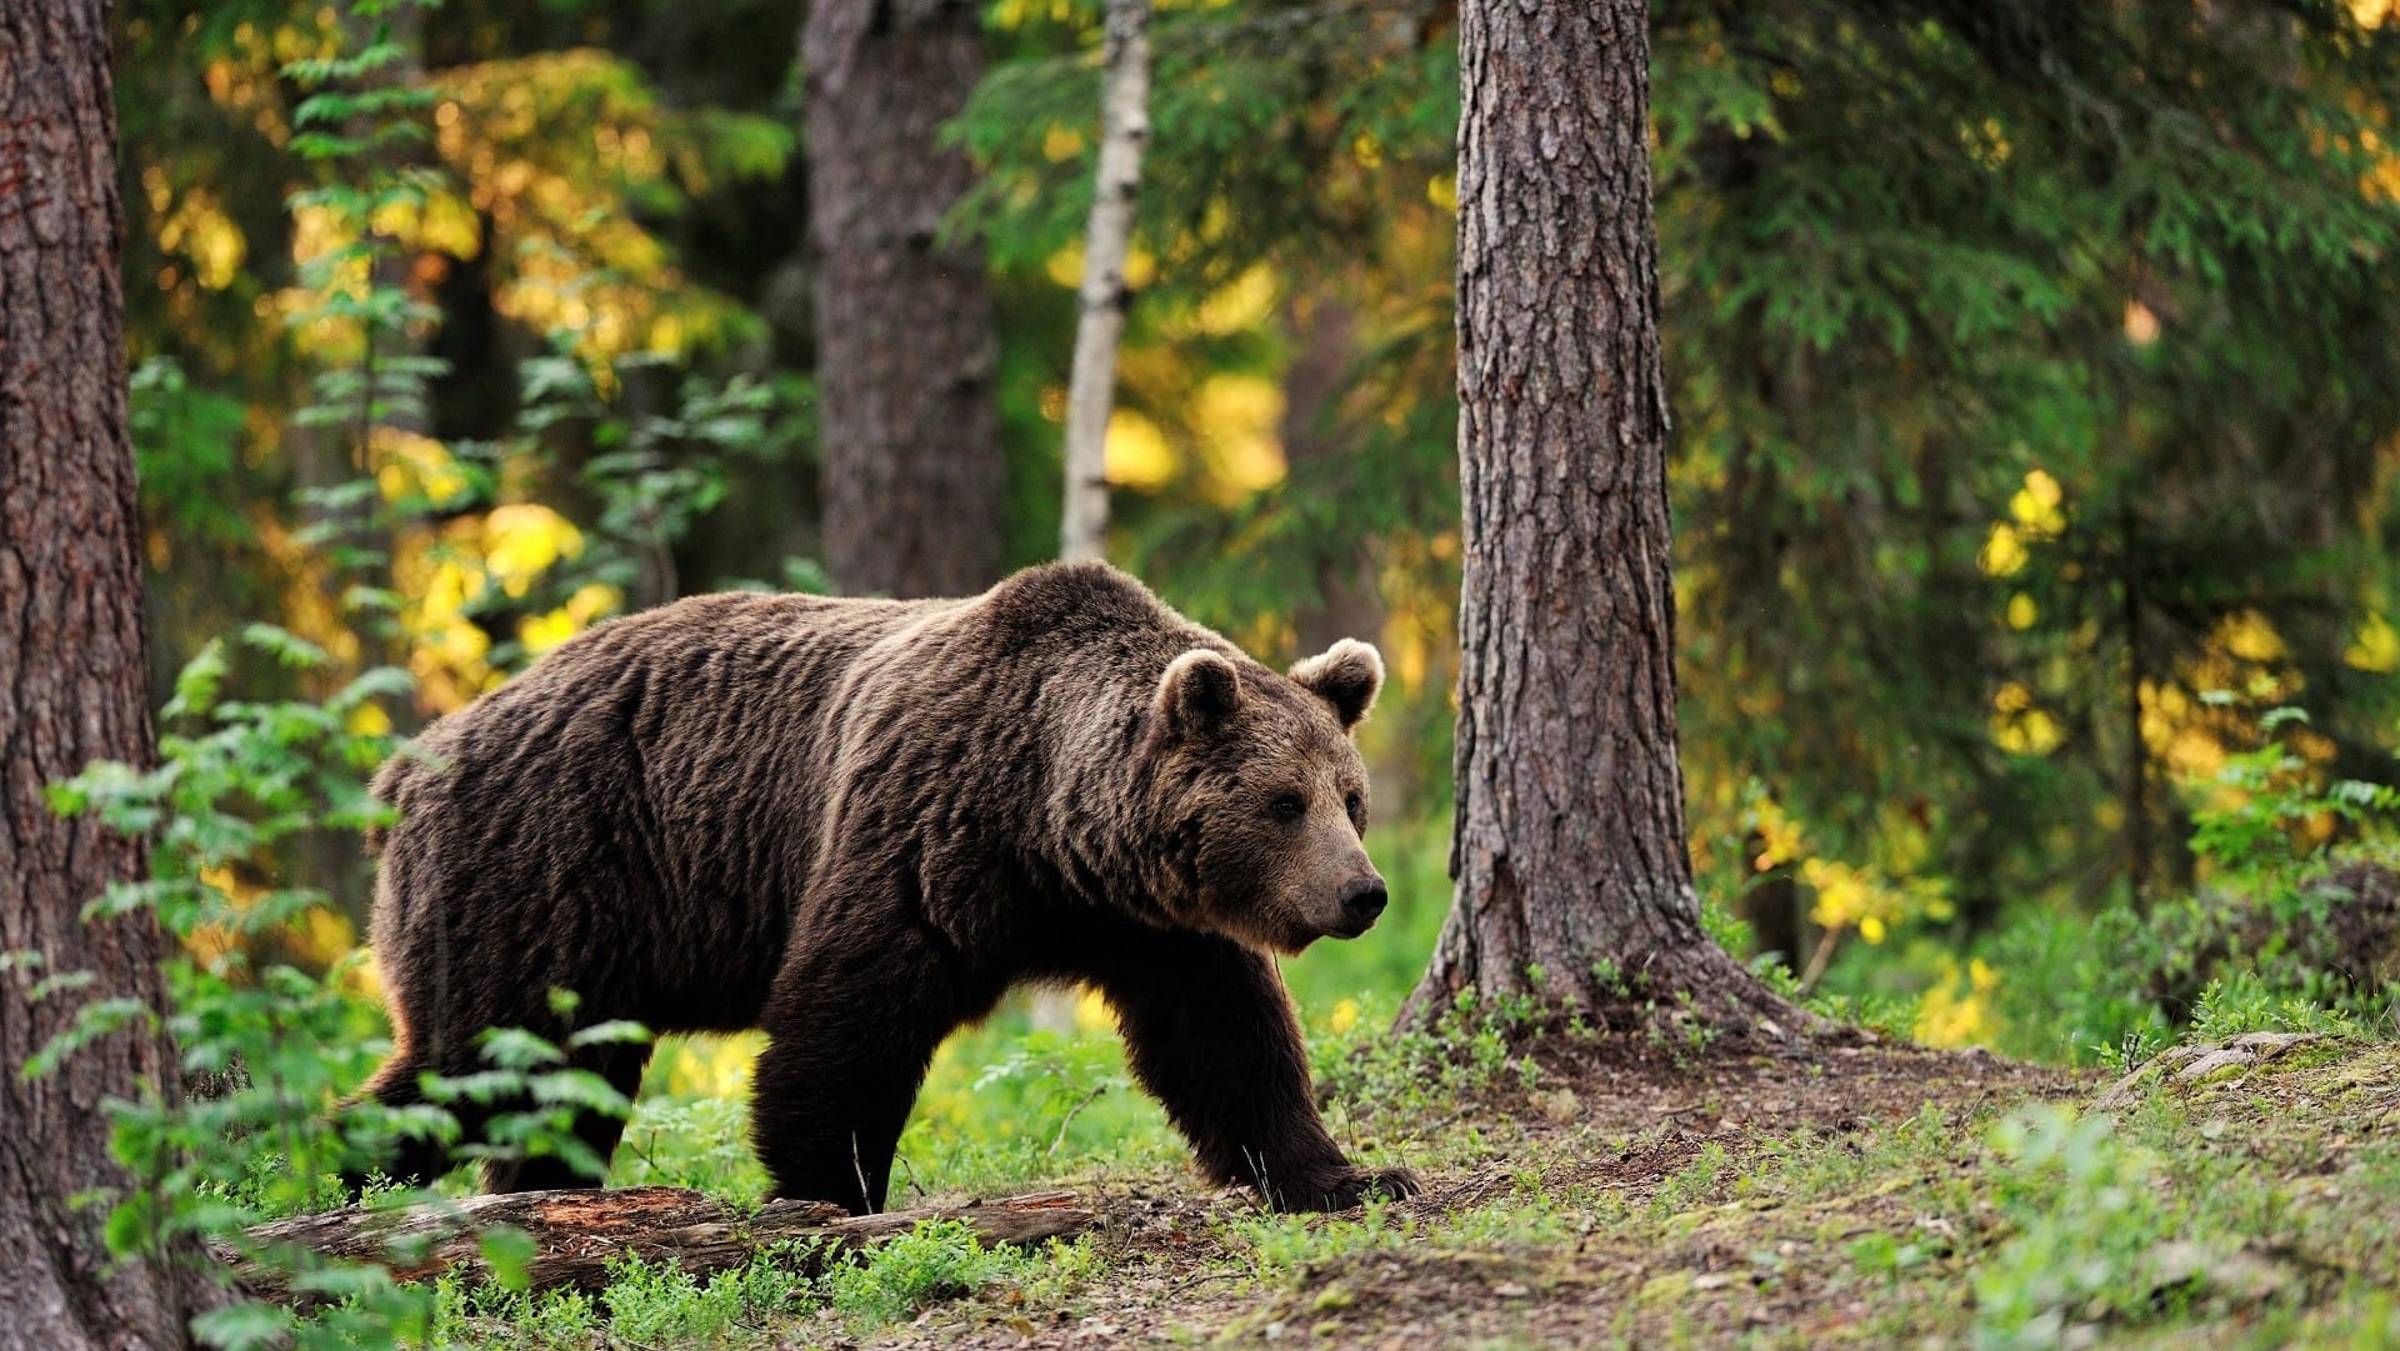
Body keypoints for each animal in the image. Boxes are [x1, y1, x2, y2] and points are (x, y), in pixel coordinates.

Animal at [348, 561, 1411, 1214]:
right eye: (1283, 801)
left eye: (1350, 798)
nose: (1363, 893)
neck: (1051, 826)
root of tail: (408, 764)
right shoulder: (923, 833)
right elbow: (848, 1016)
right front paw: (829, 1190)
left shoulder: (1152, 922)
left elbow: (1226, 1039)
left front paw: (1345, 1175)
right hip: (543, 874)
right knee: (474, 1059)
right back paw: (341, 1171)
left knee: (552, 1085)